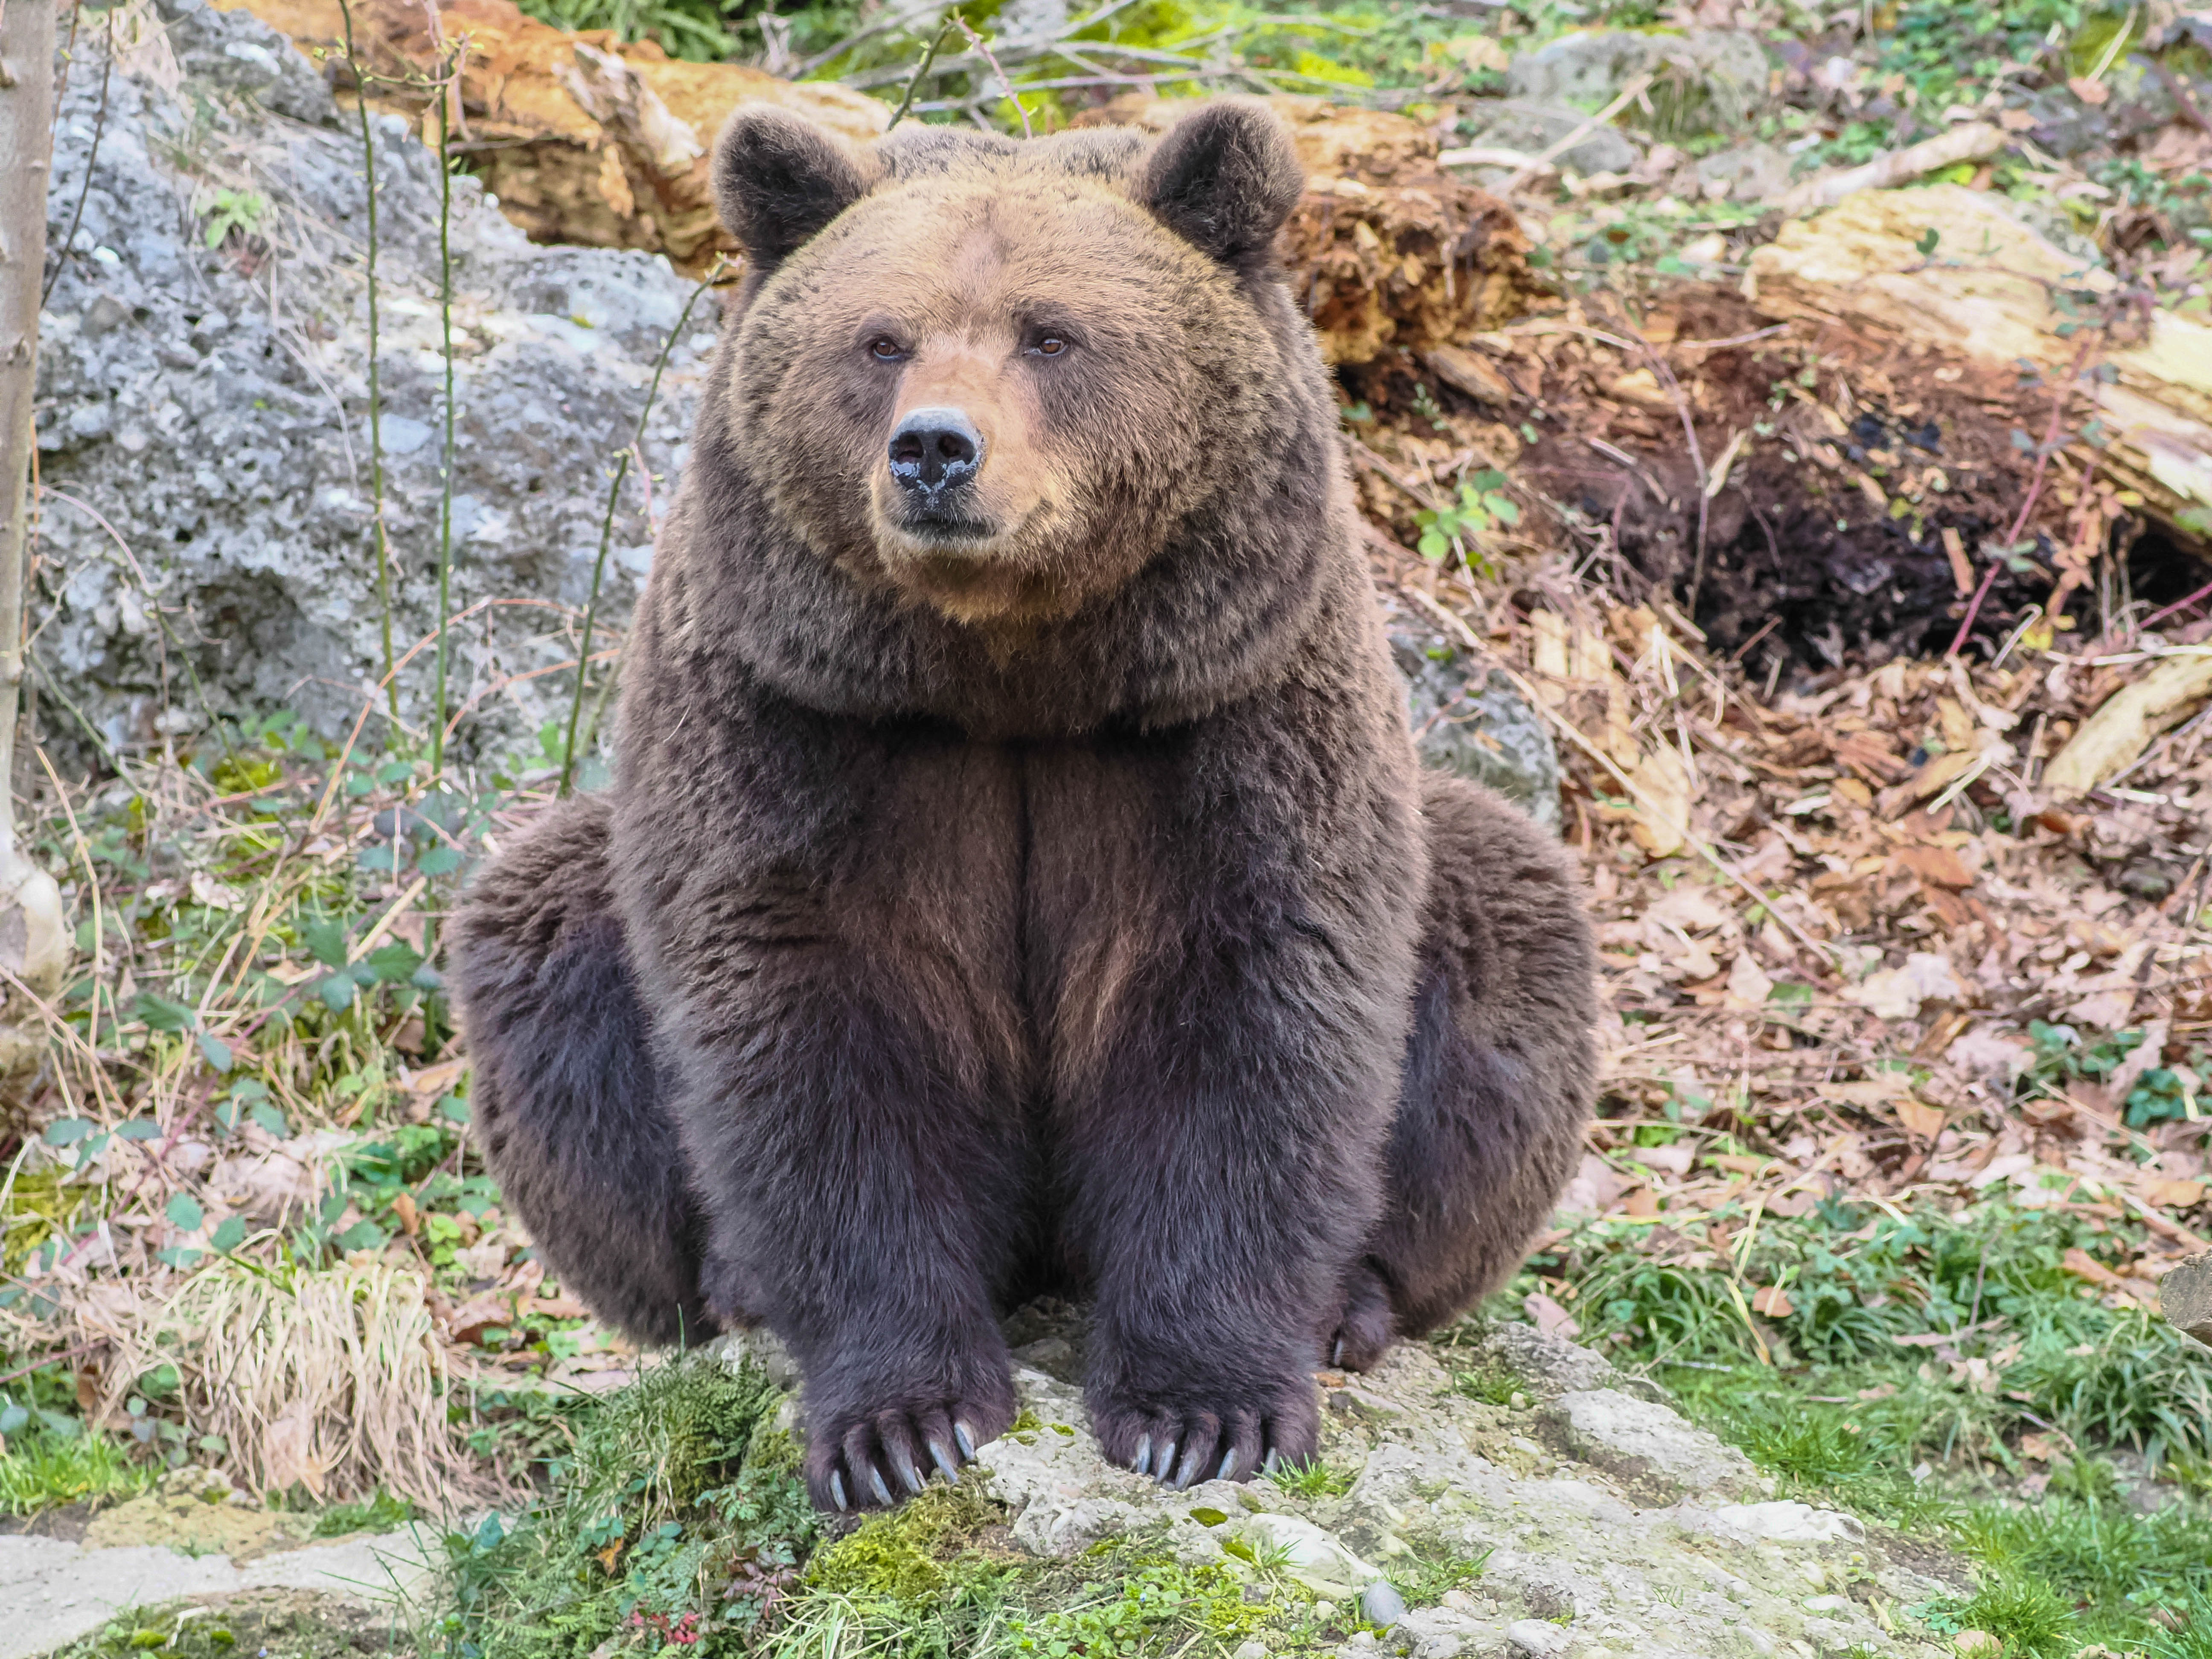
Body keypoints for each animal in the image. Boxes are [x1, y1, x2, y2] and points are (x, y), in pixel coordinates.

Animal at [452, 98, 1597, 1514]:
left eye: (1051, 333)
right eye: (881, 338)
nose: (935, 449)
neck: (1014, 667)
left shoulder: (1229, 711)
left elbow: (1254, 1015)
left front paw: (1202, 1408)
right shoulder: (795, 718)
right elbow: (809, 1030)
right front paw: (904, 1421)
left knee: (1504, 927)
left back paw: (1354, 1302)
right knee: (543, 935)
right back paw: (733, 1290)